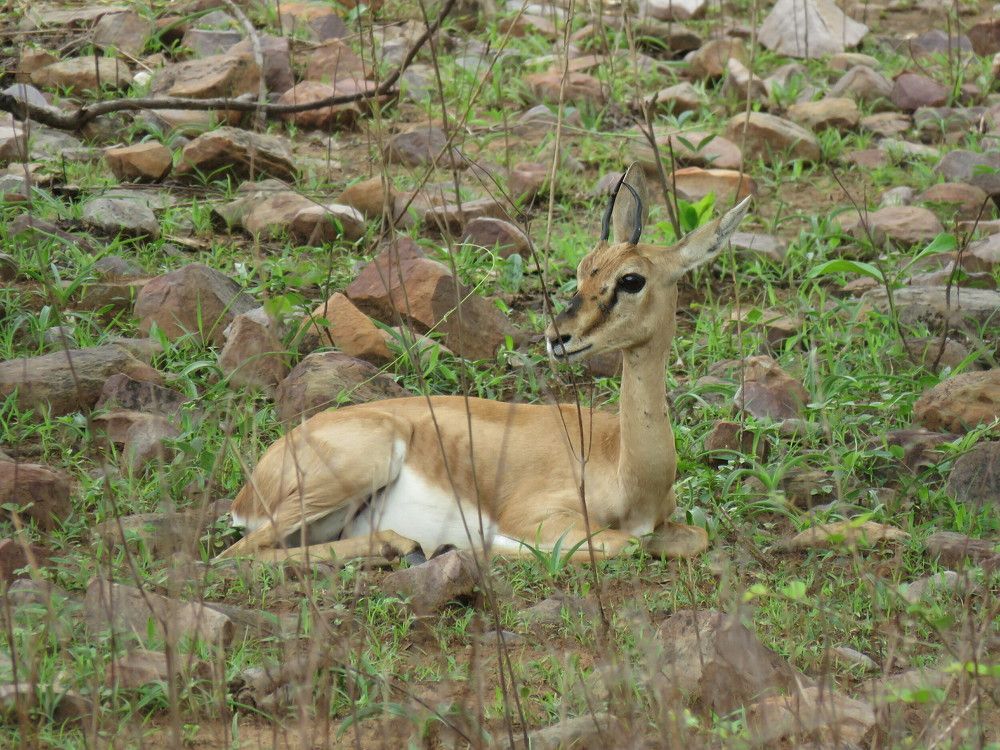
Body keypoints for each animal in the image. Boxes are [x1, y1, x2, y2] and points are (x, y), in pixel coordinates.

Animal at [219, 164, 751, 564]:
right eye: (584, 269)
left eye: (631, 279)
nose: (558, 337)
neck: (625, 468)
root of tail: (251, 486)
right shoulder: (541, 517)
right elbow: (617, 545)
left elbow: (689, 538)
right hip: (355, 471)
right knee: (236, 555)